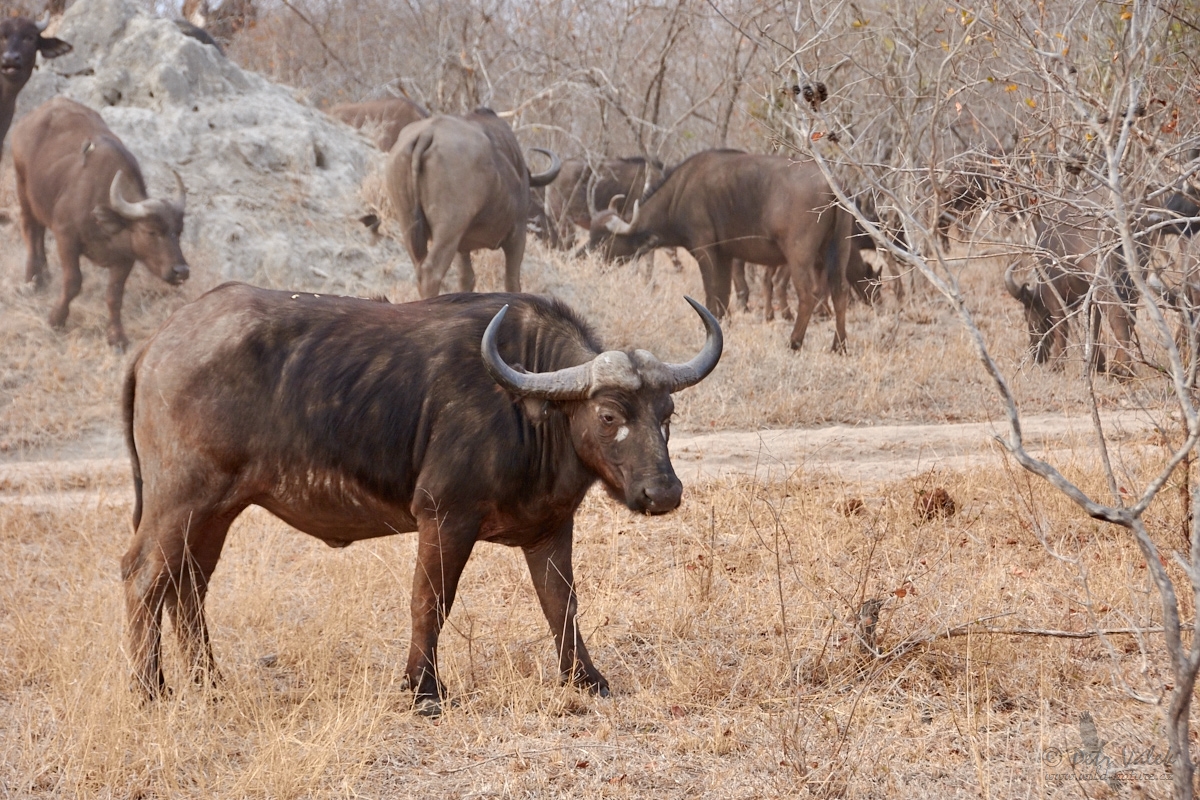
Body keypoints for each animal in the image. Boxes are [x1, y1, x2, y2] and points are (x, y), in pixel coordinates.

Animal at [121, 284, 720, 714]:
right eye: (610, 414)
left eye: (666, 414)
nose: (663, 492)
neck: (525, 408)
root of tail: (155, 344)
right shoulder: (445, 518)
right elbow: (430, 600)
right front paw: (424, 690)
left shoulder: (550, 529)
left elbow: (562, 603)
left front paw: (586, 679)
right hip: (182, 501)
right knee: (143, 575)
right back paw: (150, 690)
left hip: (217, 511)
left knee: (188, 584)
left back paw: (209, 684)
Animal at [388, 110, 566, 299]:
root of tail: (427, 133)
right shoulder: (517, 235)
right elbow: (512, 281)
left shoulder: (462, 247)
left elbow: (467, 278)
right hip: (449, 230)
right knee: (431, 272)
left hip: (410, 226)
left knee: (420, 268)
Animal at [588, 149, 854, 350]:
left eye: (604, 238)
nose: (591, 258)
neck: (679, 193)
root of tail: (833, 184)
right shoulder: (726, 255)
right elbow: (724, 293)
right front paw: (724, 324)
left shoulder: (705, 250)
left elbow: (710, 290)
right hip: (839, 251)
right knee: (840, 292)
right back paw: (839, 345)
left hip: (799, 256)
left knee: (807, 295)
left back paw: (795, 341)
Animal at [1003, 199, 1132, 376]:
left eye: (1028, 316)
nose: (1036, 355)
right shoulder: (1088, 297)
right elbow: (1093, 325)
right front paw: (1097, 363)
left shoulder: (1053, 295)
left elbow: (1061, 325)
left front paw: (1057, 365)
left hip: (1103, 275)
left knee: (1117, 310)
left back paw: (1121, 367)